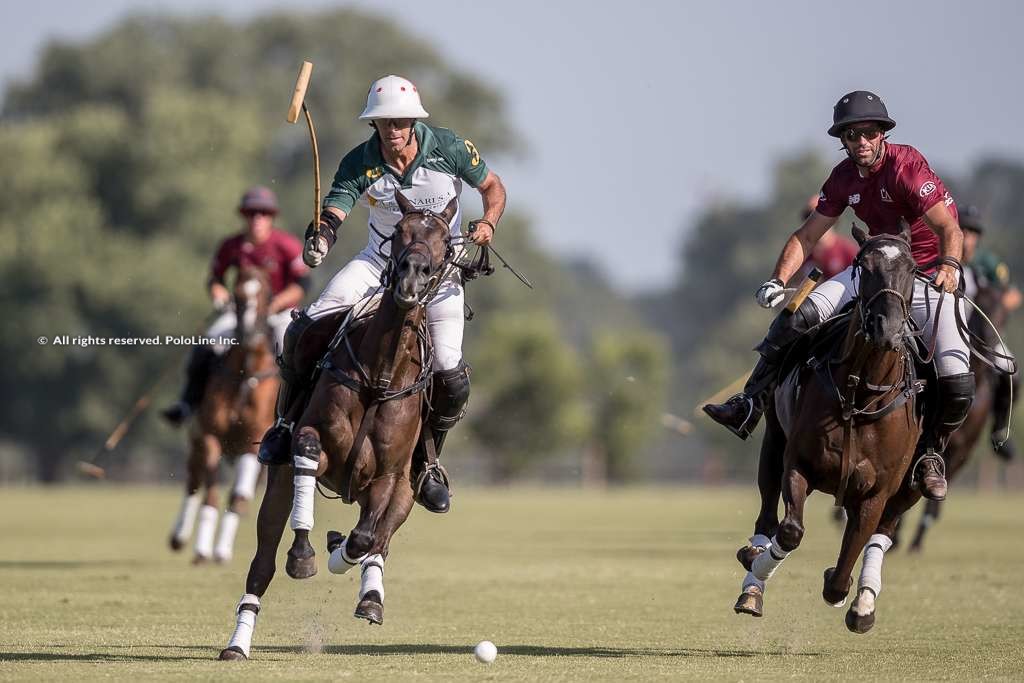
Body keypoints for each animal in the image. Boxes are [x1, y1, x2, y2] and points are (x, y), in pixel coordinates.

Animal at [168, 268, 278, 565]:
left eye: (264, 294)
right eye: (236, 294)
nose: (247, 332)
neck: (245, 374)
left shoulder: (253, 443)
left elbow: (238, 497)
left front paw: (221, 551)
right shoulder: (209, 436)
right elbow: (211, 494)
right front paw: (202, 550)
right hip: (196, 439)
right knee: (193, 484)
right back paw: (179, 537)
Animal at [222, 193, 458, 663]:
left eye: (444, 242)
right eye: (399, 231)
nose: (411, 278)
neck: (380, 375)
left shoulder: (388, 476)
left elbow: (365, 538)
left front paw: (343, 557)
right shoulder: (313, 440)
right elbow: (309, 456)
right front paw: (306, 555)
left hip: (406, 491)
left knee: (379, 539)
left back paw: (370, 597)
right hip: (277, 485)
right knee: (262, 565)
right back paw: (238, 643)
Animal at [733, 228, 933, 634]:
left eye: (913, 269)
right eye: (864, 265)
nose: (887, 329)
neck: (860, 392)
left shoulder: (876, 491)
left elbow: (845, 568)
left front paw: (851, 597)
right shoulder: (799, 463)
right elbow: (790, 531)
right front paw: (754, 566)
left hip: (911, 483)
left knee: (886, 530)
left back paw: (865, 601)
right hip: (774, 442)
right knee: (768, 514)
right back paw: (752, 580)